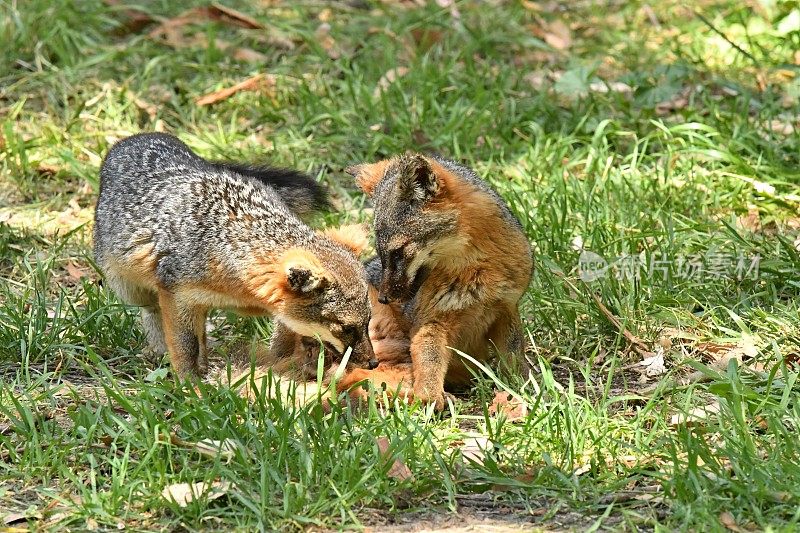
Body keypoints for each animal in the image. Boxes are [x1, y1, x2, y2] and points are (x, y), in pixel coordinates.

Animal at [94, 133, 378, 378]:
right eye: (346, 328)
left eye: (368, 321)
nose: (374, 363)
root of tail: (139, 137)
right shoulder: (176, 296)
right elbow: (186, 348)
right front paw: (190, 386)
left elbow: (284, 338)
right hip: (131, 289)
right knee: (152, 313)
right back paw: (161, 351)